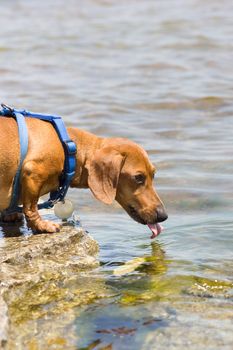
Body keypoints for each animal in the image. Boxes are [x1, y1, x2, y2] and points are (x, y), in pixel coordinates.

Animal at [0, 117, 167, 238]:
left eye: (153, 174)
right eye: (138, 177)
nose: (163, 216)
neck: (67, 147)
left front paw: (10, 214)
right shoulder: (33, 172)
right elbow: (31, 207)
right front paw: (41, 226)